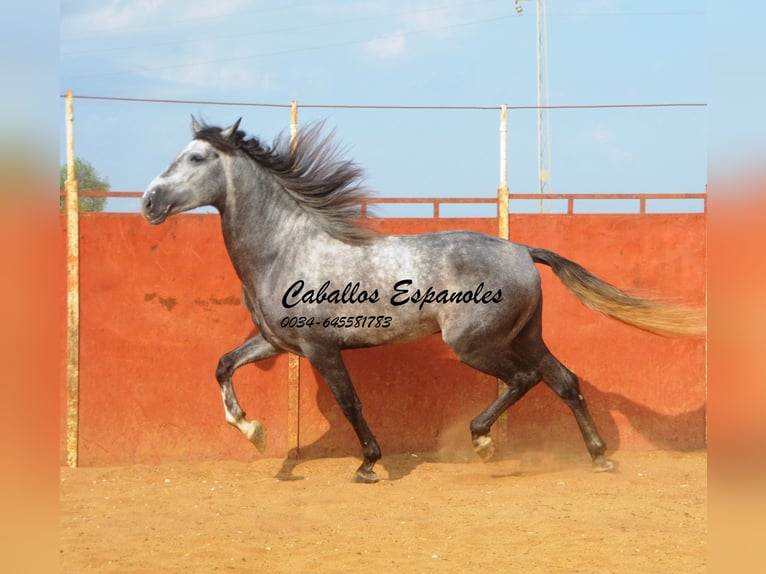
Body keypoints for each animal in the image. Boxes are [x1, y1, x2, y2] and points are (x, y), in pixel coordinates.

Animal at [141, 118, 704, 486]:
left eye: (196, 158)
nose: (149, 202)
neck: (286, 248)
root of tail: (522, 250)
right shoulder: (278, 343)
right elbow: (223, 365)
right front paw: (254, 432)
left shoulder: (321, 349)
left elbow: (349, 402)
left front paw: (369, 464)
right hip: (525, 335)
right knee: (564, 381)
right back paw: (599, 457)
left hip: (474, 343)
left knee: (524, 379)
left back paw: (482, 442)